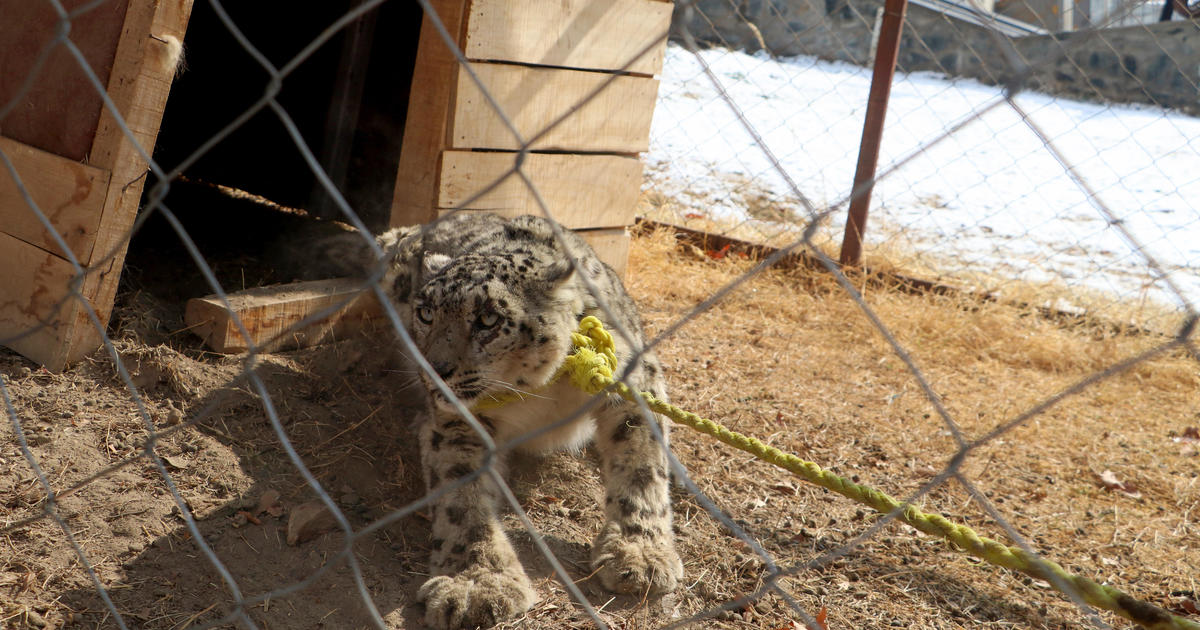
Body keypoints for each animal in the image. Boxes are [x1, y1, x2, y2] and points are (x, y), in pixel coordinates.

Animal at [337, 212, 682, 629]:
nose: (434, 370)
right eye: (426, 313)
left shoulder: (633, 381)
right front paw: (476, 585)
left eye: (488, 319)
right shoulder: (459, 422)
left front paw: (640, 555)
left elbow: (642, 468)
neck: (540, 391)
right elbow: (462, 498)